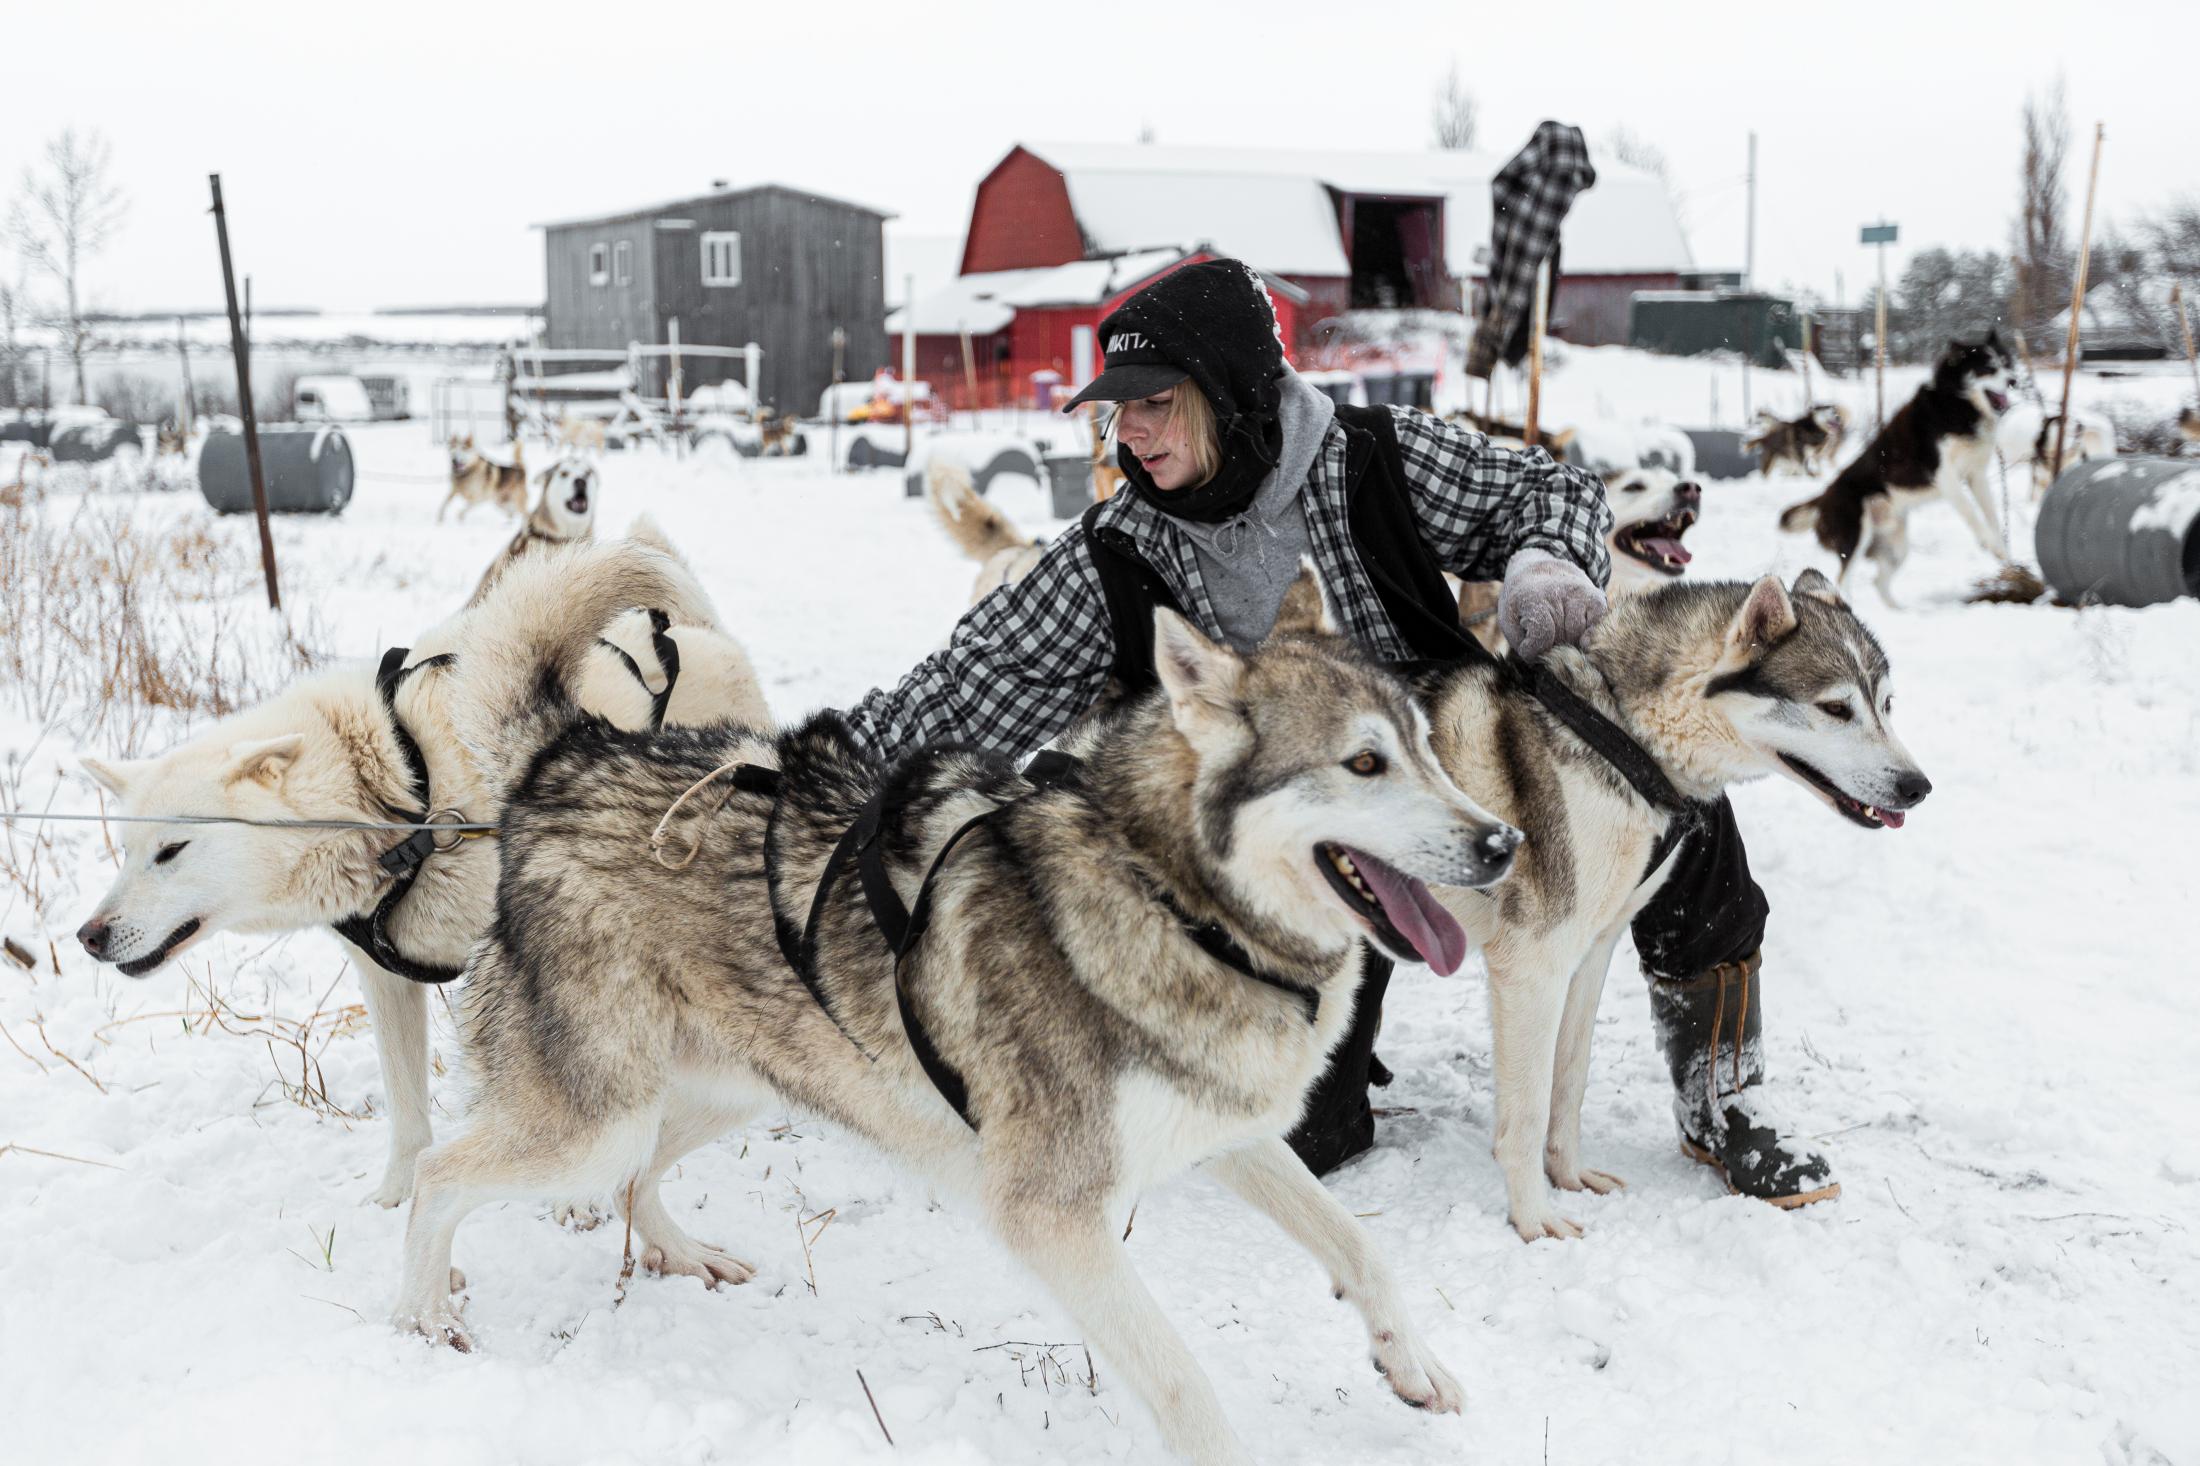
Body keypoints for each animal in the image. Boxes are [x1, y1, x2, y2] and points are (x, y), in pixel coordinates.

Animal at [73, 534, 774, 1197]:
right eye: (126, 851)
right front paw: (393, 1198)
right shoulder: (387, 980)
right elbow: (407, 1109)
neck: (395, 793)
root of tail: (697, 635)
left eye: (172, 851)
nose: (89, 936)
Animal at [396, 567, 1522, 1461]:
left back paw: (685, 1254)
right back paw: (422, 1322)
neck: (1171, 900)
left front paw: (1414, 1367)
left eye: (1429, 748)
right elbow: (1179, 1378)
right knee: (440, 1175)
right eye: (1364, 763)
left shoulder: (1227, 1133)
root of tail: (572, 753)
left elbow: (1360, 1249)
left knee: (633, 1178)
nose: (1503, 843)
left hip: (733, 1091)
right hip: (595, 1121)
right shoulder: (1052, 1214)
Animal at [1777, 334, 2015, 603]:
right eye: (1988, 368)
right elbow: (1971, 513)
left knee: (1878, 581)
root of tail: (1824, 497)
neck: (1955, 403)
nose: (2013, 380)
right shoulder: (1946, 477)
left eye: (2006, 363)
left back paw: (1901, 610)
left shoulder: (1976, 476)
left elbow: (1992, 517)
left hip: (1897, 546)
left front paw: (2003, 553)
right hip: (1856, 536)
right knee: (1842, 580)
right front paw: (1988, 543)